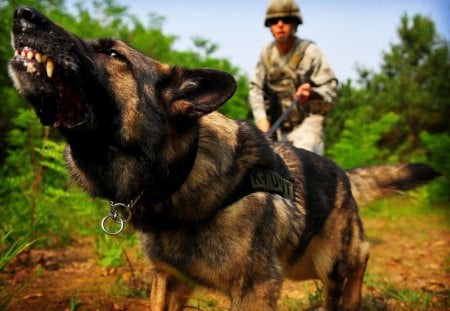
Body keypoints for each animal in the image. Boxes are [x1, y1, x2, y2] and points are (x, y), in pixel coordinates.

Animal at [7, 7, 440, 311]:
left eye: (114, 54)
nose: (23, 14)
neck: (181, 176)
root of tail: (341, 173)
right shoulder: (169, 282)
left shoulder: (257, 289)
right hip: (303, 263)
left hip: (332, 258)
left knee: (359, 259)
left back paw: (350, 299)